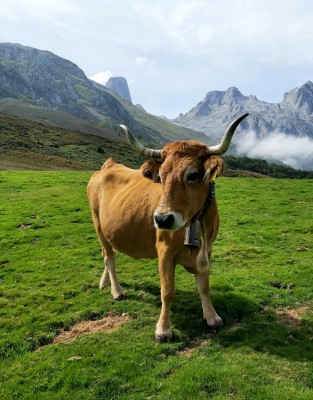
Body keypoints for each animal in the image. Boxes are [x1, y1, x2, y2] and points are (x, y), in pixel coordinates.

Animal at [86, 114, 247, 342]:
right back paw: (117, 291)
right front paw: (163, 329)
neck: (196, 223)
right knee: (109, 257)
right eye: (161, 177)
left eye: (192, 175)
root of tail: (109, 165)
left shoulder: (208, 249)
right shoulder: (164, 251)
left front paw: (212, 316)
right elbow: (167, 291)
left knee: (106, 256)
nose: (162, 219)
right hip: (98, 225)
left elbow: (204, 286)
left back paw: (104, 282)